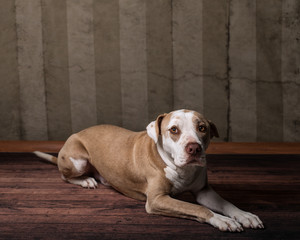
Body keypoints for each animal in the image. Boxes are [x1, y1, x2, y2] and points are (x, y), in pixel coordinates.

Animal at [34, 109, 262, 232]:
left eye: (202, 128)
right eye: (174, 130)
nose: (194, 148)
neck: (180, 168)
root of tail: (76, 133)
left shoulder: (204, 191)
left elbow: (226, 203)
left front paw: (244, 215)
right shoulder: (157, 200)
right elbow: (198, 209)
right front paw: (222, 220)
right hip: (77, 160)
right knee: (65, 176)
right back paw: (85, 181)